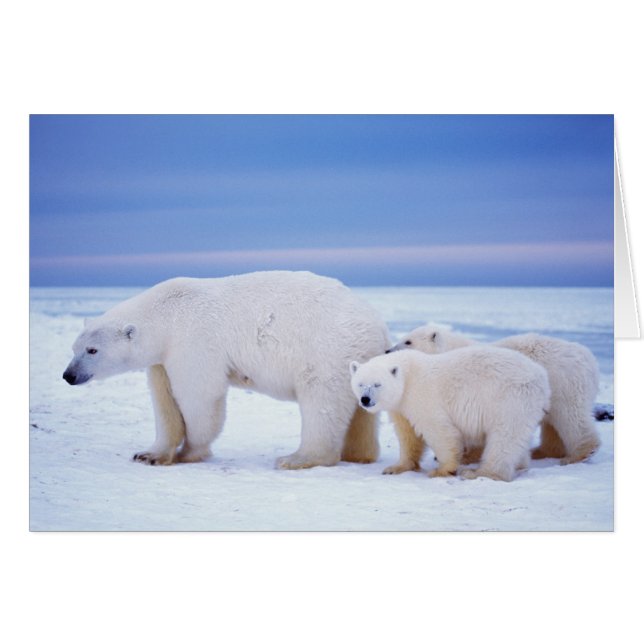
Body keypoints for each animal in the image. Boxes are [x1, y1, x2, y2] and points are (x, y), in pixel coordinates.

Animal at [62, 271, 390, 469]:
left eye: (92, 350)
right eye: (74, 347)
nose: (69, 375)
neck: (166, 315)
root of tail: (378, 324)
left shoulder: (192, 340)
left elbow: (200, 395)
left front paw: (189, 452)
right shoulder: (162, 359)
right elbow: (164, 402)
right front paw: (149, 454)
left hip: (327, 351)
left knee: (321, 401)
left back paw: (297, 458)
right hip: (359, 359)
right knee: (360, 413)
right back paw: (359, 454)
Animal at [350, 346, 550, 482]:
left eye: (377, 384)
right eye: (360, 383)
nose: (365, 399)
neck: (407, 376)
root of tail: (541, 377)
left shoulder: (423, 395)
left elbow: (439, 431)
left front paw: (443, 470)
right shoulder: (400, 406)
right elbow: (408, 435)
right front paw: (396, 467)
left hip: (510, 399)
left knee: (504, 437)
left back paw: (481, 473)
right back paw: (520, 464)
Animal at [386, 325, 600, 470]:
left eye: (408, 341)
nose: (388, 350)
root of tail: (589, 358)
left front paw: (467, 456)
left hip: (565, 384)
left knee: (570, 416)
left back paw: (579, 454)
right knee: (553, 425)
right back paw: (542, 451)